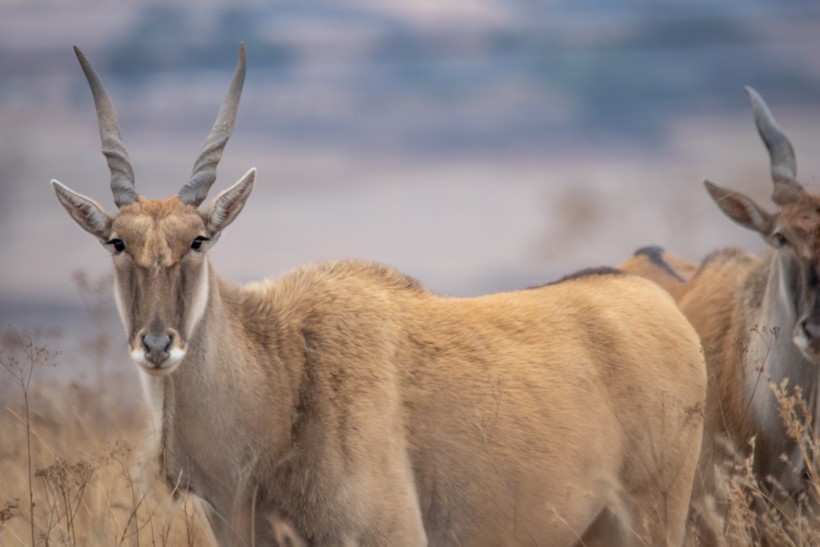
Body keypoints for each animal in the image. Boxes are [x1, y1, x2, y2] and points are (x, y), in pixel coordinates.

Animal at [49, 46, 704, 547]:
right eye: (117, 242)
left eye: (198, 239)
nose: (158, 345)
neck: (285, 370)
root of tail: (661, 306)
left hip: (652, 515)